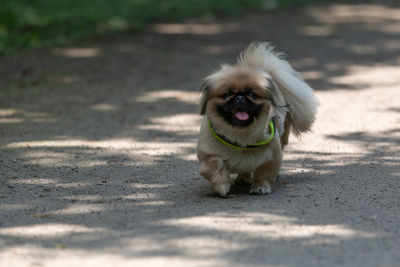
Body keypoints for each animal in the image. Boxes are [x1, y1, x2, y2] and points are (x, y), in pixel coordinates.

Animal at [195, 42, 318, 197]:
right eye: (227, 94)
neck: (240, 135)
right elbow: (216, 166)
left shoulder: (271, 156)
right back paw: (243, 178)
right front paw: (222, 186)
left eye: (252, 94)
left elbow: (263, 173)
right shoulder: (208, 153)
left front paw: (260, 187)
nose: (239, 98)